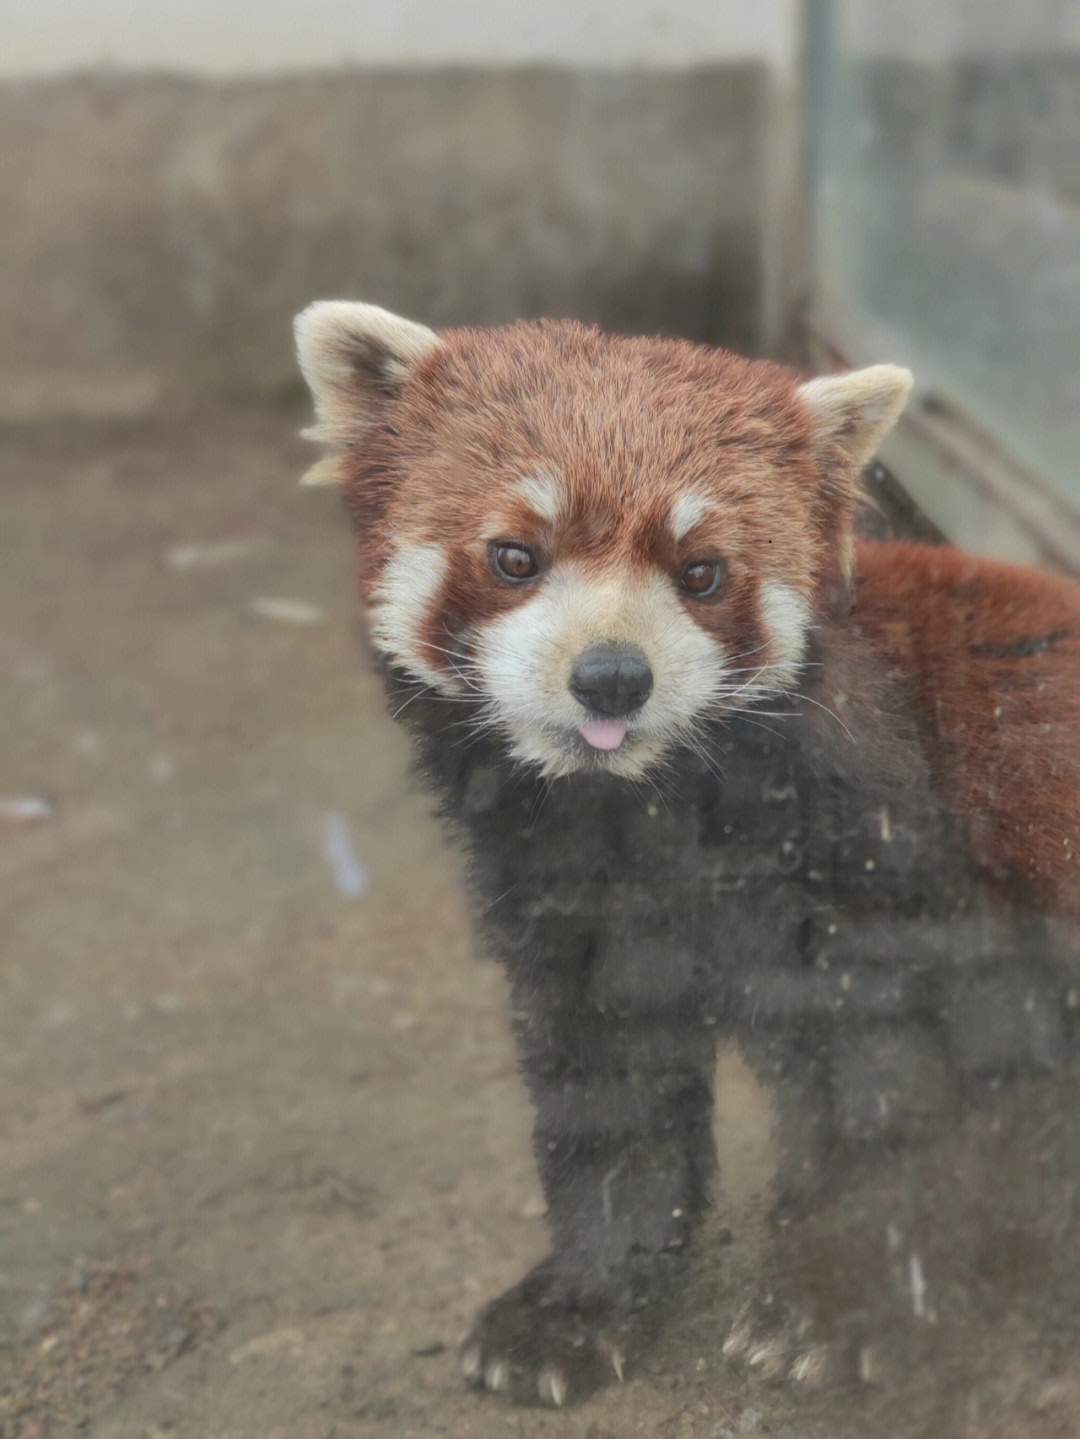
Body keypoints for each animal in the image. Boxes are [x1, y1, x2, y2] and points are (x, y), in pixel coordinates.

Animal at [296, 300, 1080, 1404]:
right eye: (515, 555)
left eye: (701, 572)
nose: (612, 676)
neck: (656, 819)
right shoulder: (572, 905)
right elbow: (608, 1099)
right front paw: (578, 1302)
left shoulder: (902, 885)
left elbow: (896, 1104)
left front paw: (836, 1305)